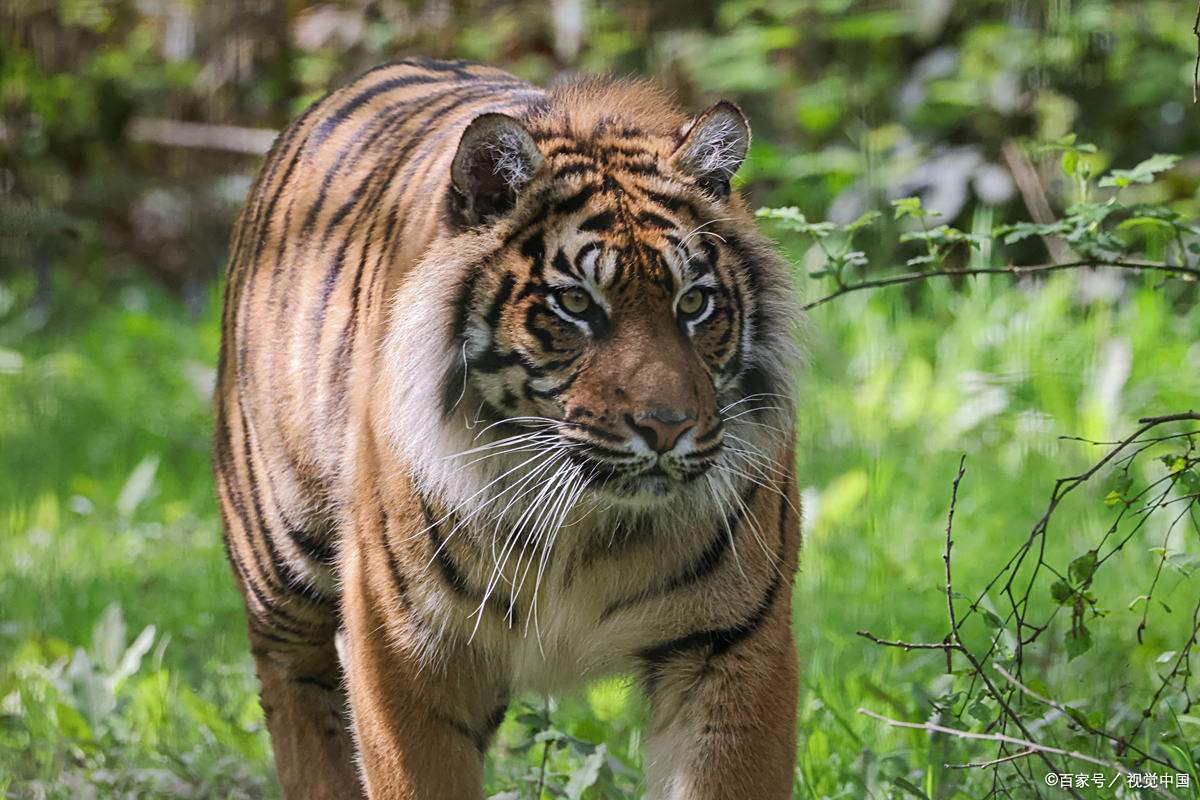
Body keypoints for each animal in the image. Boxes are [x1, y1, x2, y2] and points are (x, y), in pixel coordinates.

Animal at [213, 57, 803, 800]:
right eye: (575, 303)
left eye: (694, 303)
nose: (667, 428)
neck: (588, 526)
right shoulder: (404, 645)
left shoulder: (732, 644)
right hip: (281, 564)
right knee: (295, 685)